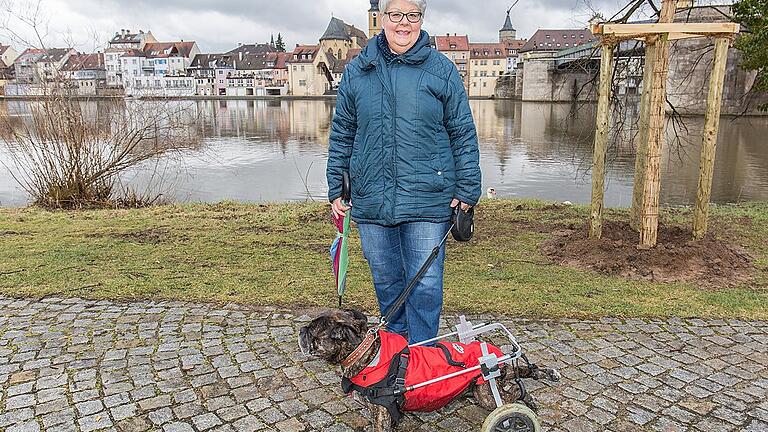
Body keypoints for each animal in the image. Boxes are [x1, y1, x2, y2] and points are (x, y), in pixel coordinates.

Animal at [298, 308, 560, 430]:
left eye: (312, 331)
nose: (301, 330)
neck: (369, 355)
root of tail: (495, 356)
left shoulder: (382, 415)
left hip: (486, 393)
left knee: (513, 394)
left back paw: (526, 398)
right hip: (481, 388)